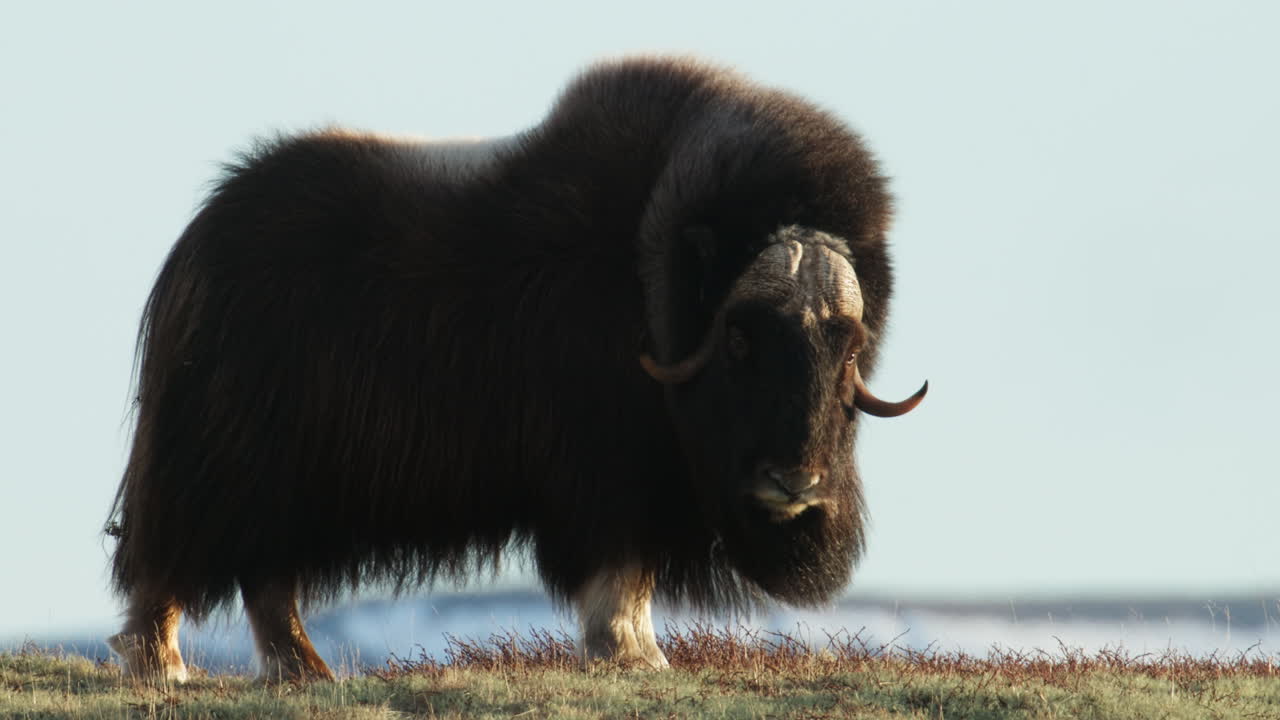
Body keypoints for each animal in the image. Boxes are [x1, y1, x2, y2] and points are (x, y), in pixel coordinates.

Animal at [105, 56, 926, 683]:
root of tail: (201, 239)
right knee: (182, 557)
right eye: (739, 339)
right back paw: (168, 664)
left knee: (263, 573)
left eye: (847, 343)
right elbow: (620, 566)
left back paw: (304, 672)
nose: (796, 482)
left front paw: (641, 654)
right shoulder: (606, 471)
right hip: (229, 462)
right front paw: (631, 656)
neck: (650, 289)